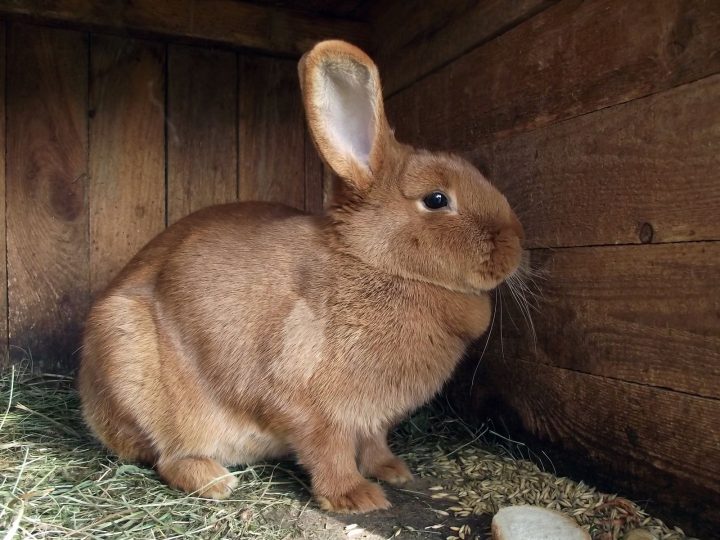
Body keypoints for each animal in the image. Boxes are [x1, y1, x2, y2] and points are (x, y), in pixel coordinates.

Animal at [78, 39, 524, 514]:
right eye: (437, 199)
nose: (515, 245)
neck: (375, 263)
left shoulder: (372, 418)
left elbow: (374, 443)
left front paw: (393, 471)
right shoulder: (307, 399)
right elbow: (327, 449)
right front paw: (357, 497)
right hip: (131, 362)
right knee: (166, 455)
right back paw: (214, 480)